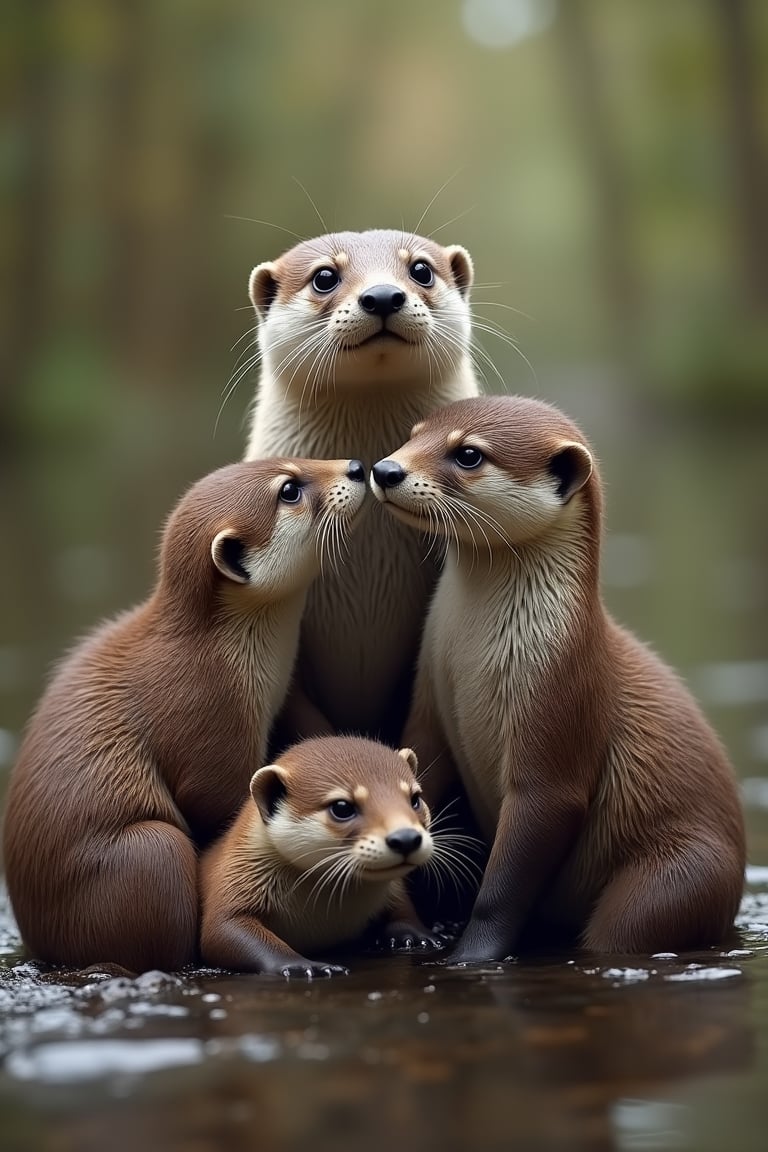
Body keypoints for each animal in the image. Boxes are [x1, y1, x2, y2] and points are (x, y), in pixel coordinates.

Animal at [3, 453, 366, 967]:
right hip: (152, 850)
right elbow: (215, 801)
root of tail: (40, 935)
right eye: (290, 489)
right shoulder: (205, 711)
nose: (355, 465)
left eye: (293, 460)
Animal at [370, 400, 746, 958]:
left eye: (468, 454)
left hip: (677, 878)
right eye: (412, 435)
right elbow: (417, 770)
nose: (385, 469)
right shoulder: (429, 695)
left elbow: (508, 881)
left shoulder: (561, 698)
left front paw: (470, 955)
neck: (468, 658)